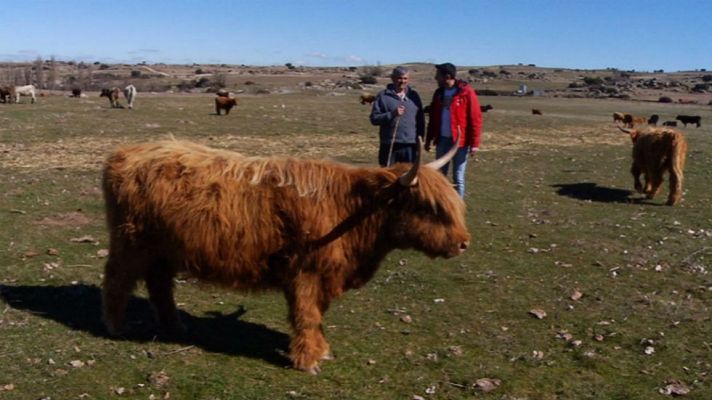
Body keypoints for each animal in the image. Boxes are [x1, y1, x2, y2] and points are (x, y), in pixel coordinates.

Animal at [101, 138, 470, 374]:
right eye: (429, 208)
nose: (464, 243)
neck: (354, 211)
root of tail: (124, 153)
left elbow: (317, 315)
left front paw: (320, 350)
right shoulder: (305, 272)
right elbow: (306, 314)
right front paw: (307, 361)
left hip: (163, 248)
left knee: (159, 284)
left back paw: (175, 326)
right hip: (132, 241)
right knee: (118, 279)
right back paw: (116, 326)